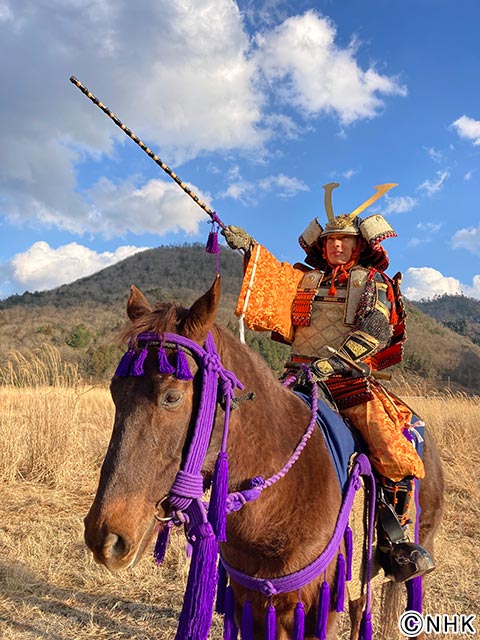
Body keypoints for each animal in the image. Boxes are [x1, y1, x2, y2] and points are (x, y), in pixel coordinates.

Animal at [85, 276, 442, 640]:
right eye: (115, 391)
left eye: (171, 397)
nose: (106, 538)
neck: (278, 507)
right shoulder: (252, 603)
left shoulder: (322, 607)